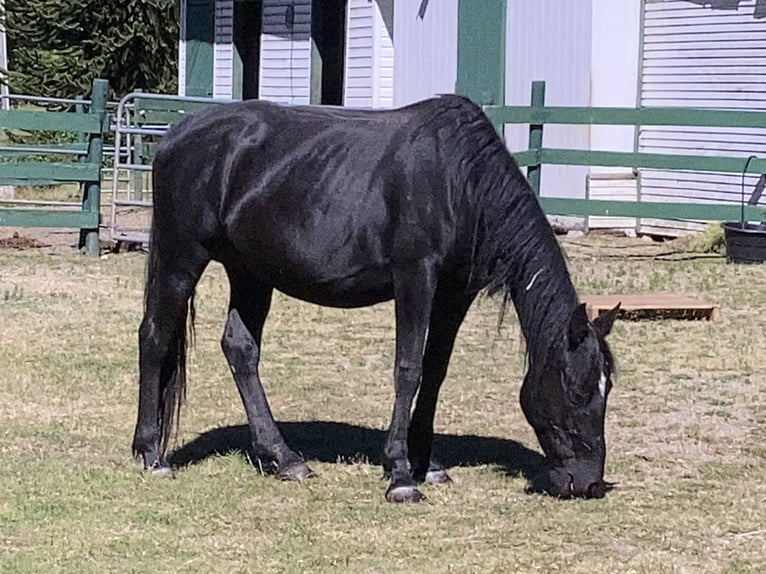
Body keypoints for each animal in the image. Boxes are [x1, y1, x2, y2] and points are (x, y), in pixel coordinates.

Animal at [131, 93, 620, 503]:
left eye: (607, 386)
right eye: (576, 390)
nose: (587, 482)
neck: (459, 180)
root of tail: (175, 136)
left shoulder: (454, 292)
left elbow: (435, 371)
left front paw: (428, 464)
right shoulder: (415, 277)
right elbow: (408, 369)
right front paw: (401, 475)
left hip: (250, 273)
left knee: (240, 349)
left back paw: (283, 459)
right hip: (180, 257)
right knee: (154, 337)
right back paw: (152, 455)